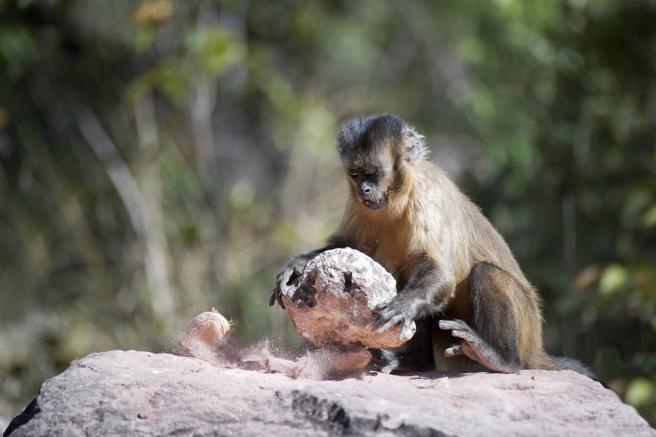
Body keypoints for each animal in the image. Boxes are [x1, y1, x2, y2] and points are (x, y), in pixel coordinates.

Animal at [270, 113, 589, 375]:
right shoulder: (357, 204)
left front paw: (403, 305)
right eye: (356, 175)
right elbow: (348, 246)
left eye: (373, 174)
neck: (400, 196)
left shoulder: (426, 196)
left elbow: (440, 272)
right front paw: (297, 265)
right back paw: (415, 363)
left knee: (485, 273)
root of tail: (536, 348)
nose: (365, 190)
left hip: (527, 328)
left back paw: (501, 359)